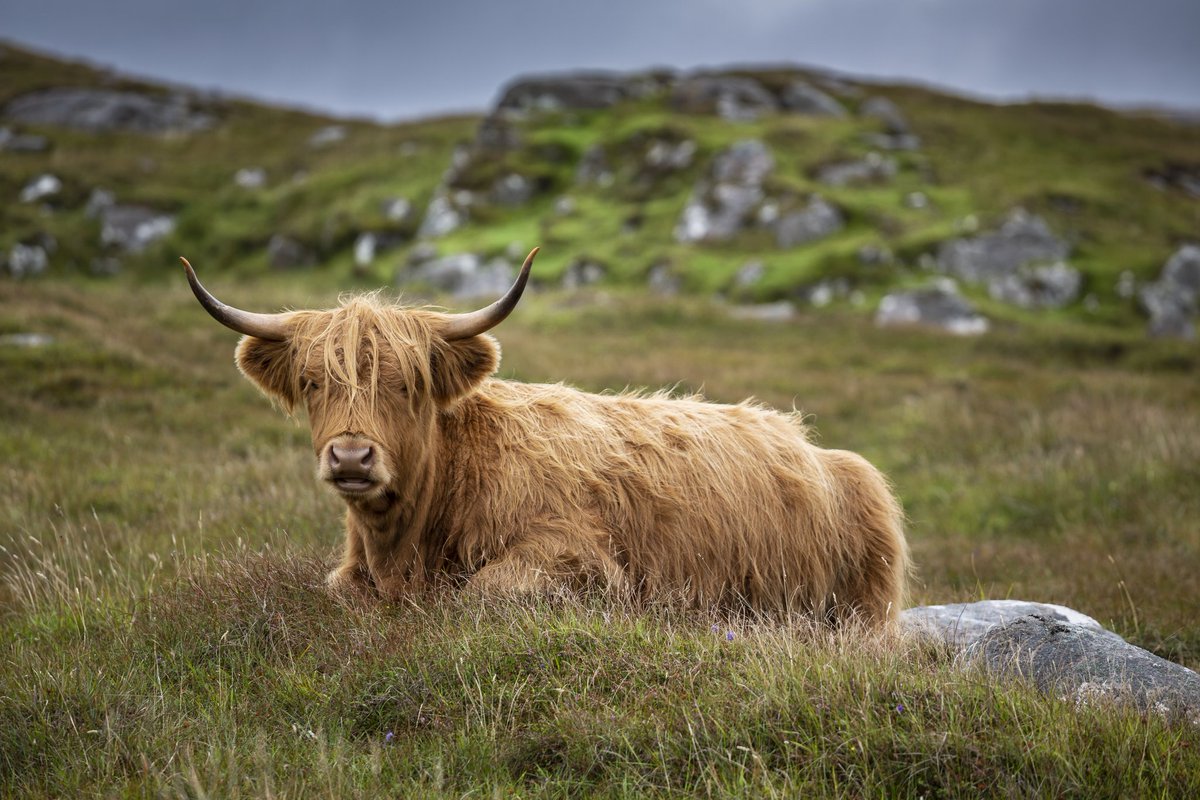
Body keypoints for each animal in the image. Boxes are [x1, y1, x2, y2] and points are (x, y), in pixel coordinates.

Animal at [182, 250, 902, 623]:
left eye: (409, 383)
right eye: (311, 382)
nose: (353, 455)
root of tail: (812, 443)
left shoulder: (577, 557)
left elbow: (481, 593)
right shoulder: (352, 576)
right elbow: (338, 590)